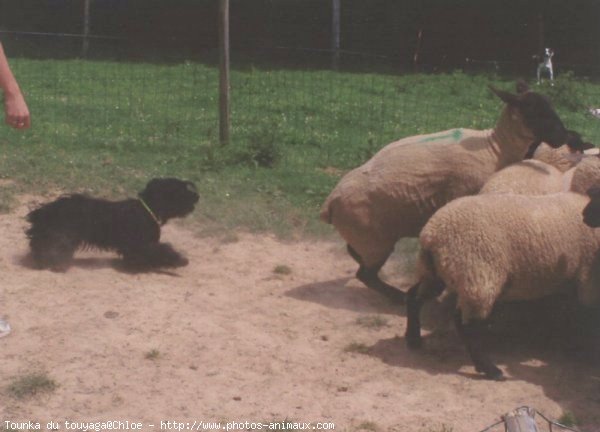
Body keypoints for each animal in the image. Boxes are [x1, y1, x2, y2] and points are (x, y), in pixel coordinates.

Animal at [25, 176, 199, 270]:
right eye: (181, 190)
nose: (197, 197)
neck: (147, 209)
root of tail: (50, 208)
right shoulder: (141, 245)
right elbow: (162, 251)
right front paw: (180, 260)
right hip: (61, 235)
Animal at [318, 82, 568, 302]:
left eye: (551, 106)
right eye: (533, 110)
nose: (564, 137)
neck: (496, 148)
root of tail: (330, 203)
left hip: (366, 238)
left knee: (355, 255)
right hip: (375, 242)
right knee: (365, 275)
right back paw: (398, 297)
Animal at [404, 154, 600, 380]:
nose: (585, 217)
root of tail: (431, 234)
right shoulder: (588, 281)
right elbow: (586, 317)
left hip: (436, 271)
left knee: (414, 296)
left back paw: (413, 339)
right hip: (479, 275)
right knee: (466, 324)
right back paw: (489, 369)